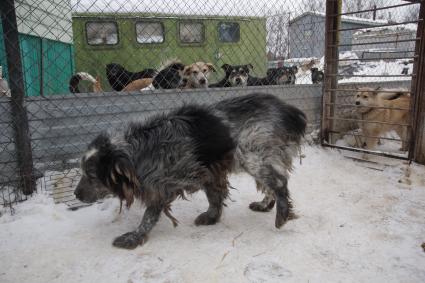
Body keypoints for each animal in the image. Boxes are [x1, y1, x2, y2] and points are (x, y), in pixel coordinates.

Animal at [73, 92, 304, 248]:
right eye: (82, 171)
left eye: (91, 176)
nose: (75, 194)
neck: (137, 149)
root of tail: (286, 108)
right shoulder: (209, 172)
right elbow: (214, 198)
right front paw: (212, 217)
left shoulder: (160, 186)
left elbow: (148, 217)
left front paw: (134, 236)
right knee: (271, 185)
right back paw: (265, 205)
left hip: (252, 155)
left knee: (279, 182)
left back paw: (282, 213)